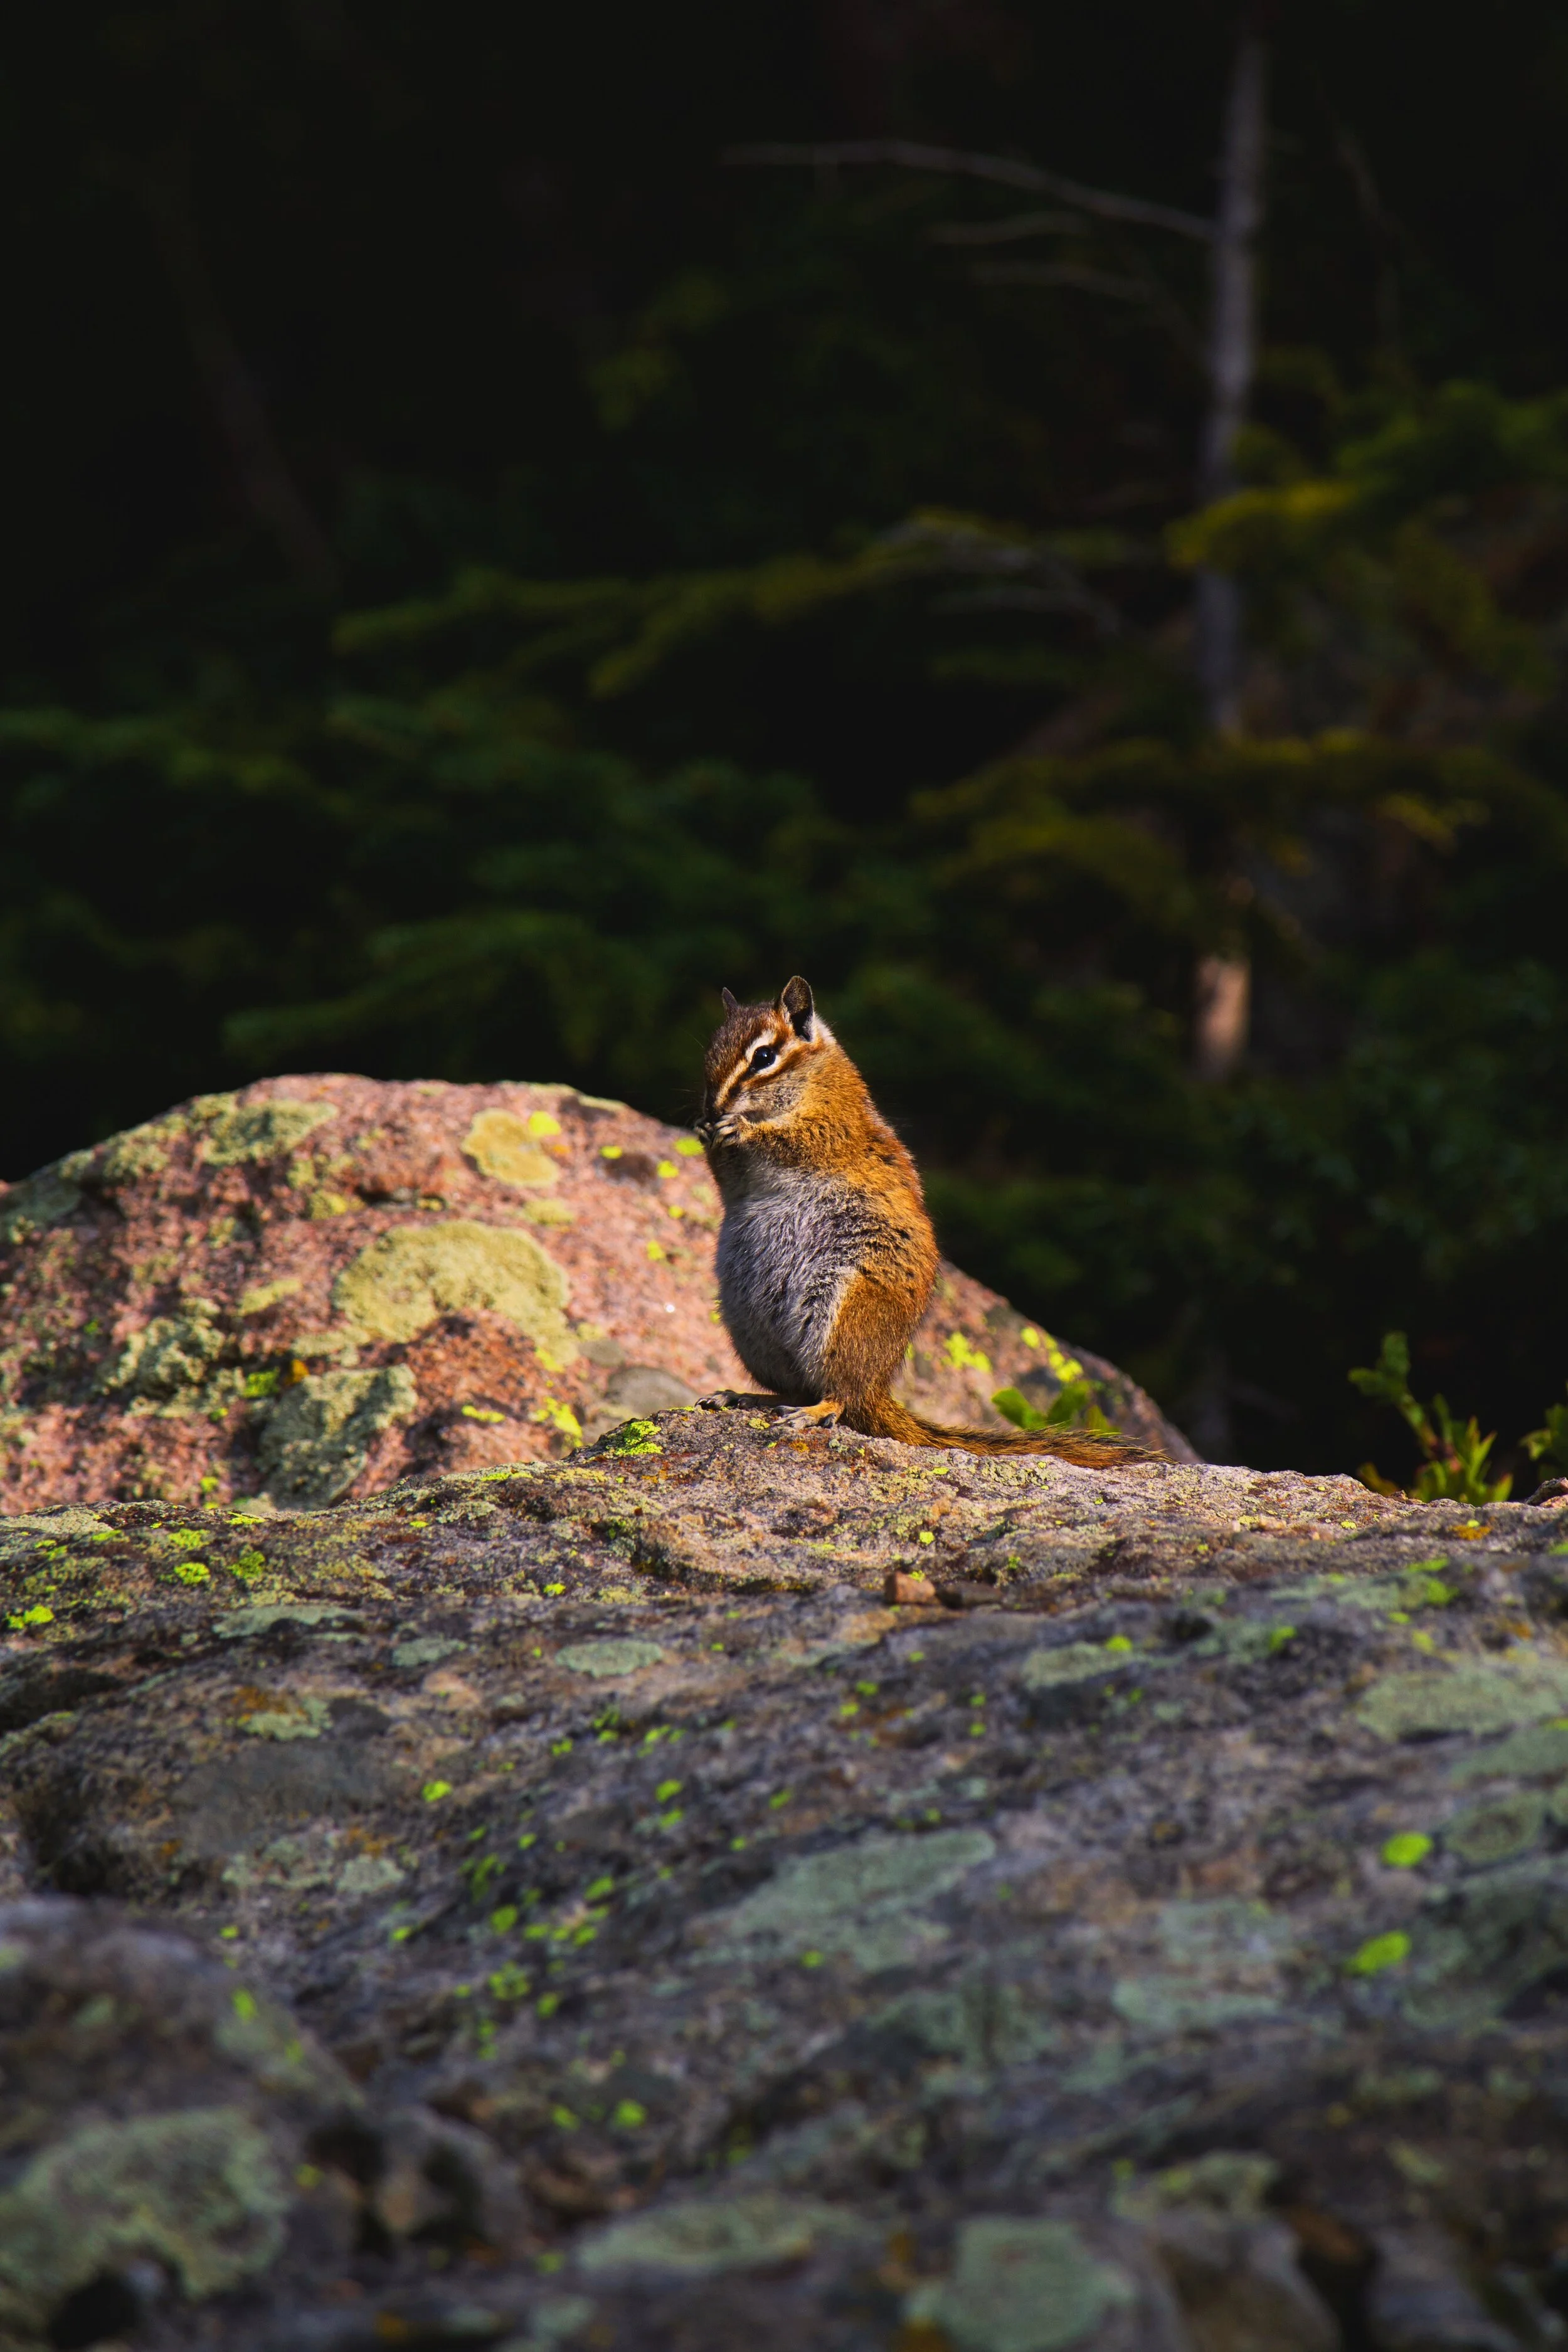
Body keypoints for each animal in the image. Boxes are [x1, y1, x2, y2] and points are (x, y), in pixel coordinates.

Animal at [693, 976, 1163, 1465]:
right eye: (711, 1049)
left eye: (764, 1057)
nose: (712, 1106)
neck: (811, 1076)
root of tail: (878, 1388)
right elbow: (727, 1177)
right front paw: (707, 1130)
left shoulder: (834, 1123)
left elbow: (798, 1138)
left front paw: (742, 1129)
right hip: (749, 1329)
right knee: (796, 1389)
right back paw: (740, 1397)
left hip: (844, 1315)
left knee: (840, 1398)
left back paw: (812, 1410)